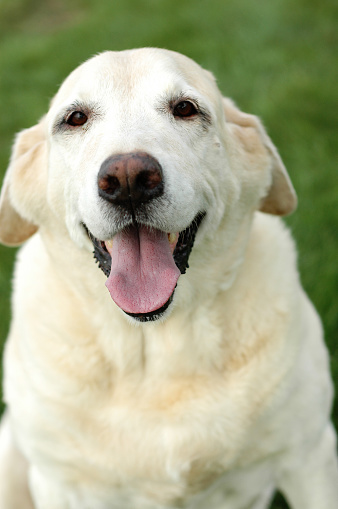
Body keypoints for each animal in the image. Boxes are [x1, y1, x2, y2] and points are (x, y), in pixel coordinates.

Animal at [0, 47, 338, 508]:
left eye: (185, 109)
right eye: (75, 118)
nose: (127, 179)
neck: (156, 342)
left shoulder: (310, 456)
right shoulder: (59, 482)